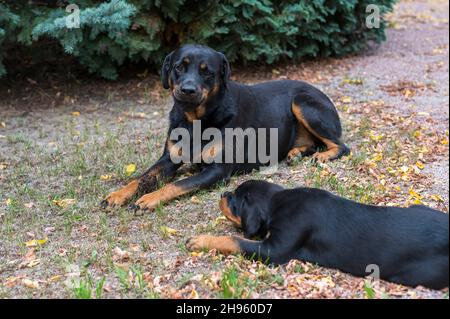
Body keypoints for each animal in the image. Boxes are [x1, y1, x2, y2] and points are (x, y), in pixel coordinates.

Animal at [101, 43, 348, 211]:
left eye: (206, 71)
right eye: (179, 67)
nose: (187, 90)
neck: (195, 121)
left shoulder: (217, 170)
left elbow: (179, 184)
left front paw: (149, 199)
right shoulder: (169, 158)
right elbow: (143, 176)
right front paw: (118, 194)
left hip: (302, 102)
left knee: (341, 146)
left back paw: (323, 156)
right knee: (313, 144)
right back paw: (296, 152)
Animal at [187, 181, 450, 292]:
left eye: (234, 199)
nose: (223, 193)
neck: (278, 203)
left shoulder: (275, 249)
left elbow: (236, 241)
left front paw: (200, 240)